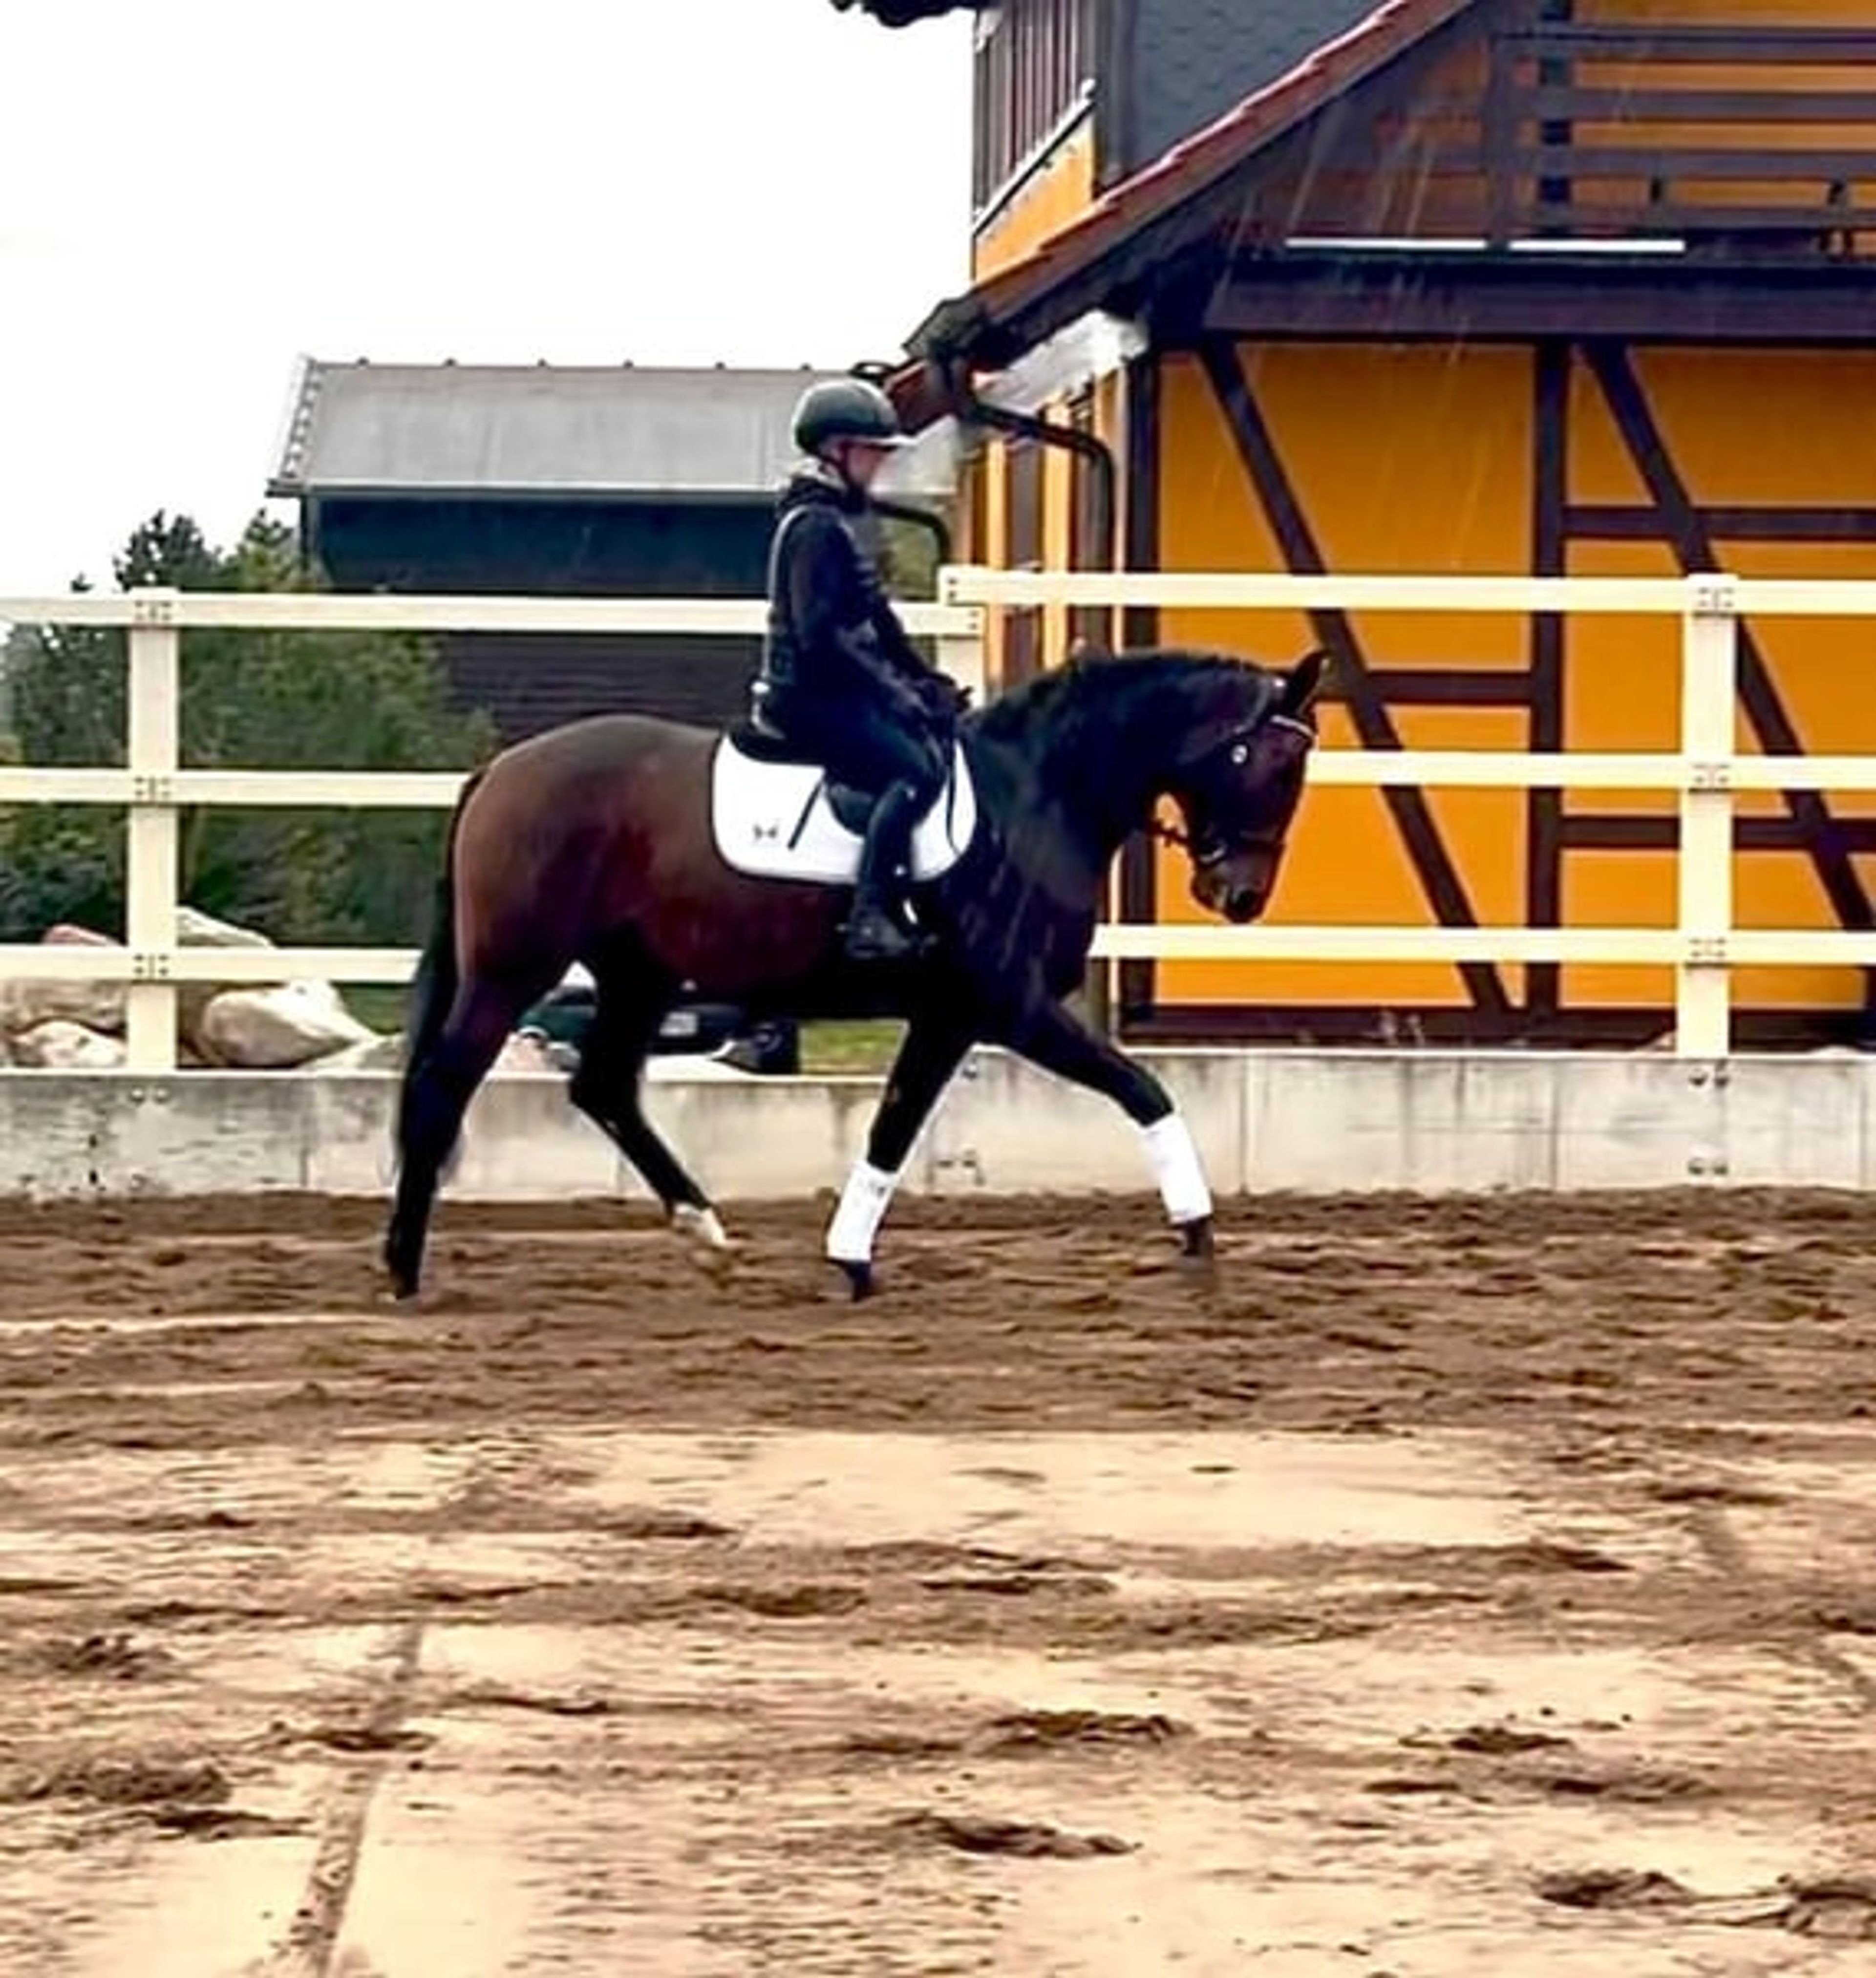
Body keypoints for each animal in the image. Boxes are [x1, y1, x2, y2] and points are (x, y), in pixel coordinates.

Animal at [385, 645, 1323, 1300]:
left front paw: (850, 1259)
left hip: (637, 977)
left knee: (605, 1087)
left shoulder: (952, 1015)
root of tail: (500, 770)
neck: (1035, 796)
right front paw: (1198, 1236)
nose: (1239, 895)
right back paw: (403, 1271)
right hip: (512, 970)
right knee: (443, 1088)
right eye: (1276, 766)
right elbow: (1143, 1090)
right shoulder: (1008, 1005)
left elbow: (892, 1130)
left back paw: (707, 1236)